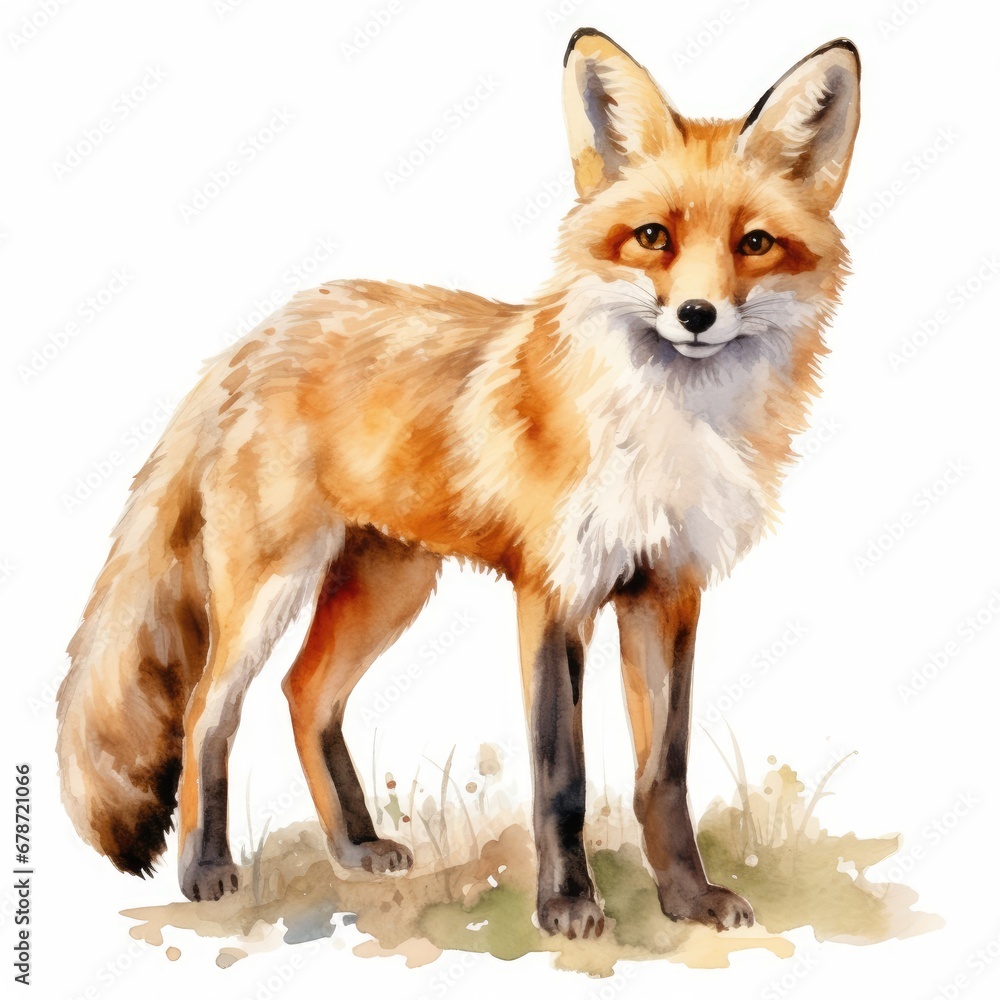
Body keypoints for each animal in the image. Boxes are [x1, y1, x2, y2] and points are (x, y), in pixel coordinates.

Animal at [56, 28, 860, 939]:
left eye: (754, 243)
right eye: (653, 235)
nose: (696, 316)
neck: (668, 429)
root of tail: (252, 338)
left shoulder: (667, 591)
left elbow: (664, 774)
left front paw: (687, 899)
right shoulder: (555, 593)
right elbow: (561, 775)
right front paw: (567, 906)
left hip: (388, 587)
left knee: (304, 694)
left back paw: (355, 848)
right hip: (272, 585)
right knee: (205, 714)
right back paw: (206, 866)